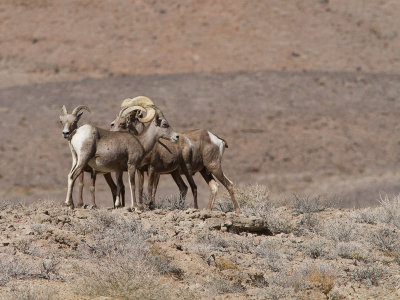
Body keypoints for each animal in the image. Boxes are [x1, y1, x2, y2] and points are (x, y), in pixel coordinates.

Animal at [111, 97, 239, 212]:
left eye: (123, 123)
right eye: (114, 123)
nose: (112, 133)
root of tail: (217, 139)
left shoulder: (153, 170)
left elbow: (151, 188)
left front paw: (151, 206)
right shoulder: (140, 170)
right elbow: (140, 188)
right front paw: (141, 206)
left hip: (209, 167)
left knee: (224, 185)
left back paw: (235, 210)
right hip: (200, 171)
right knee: (211, 187)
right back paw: (207, 209)